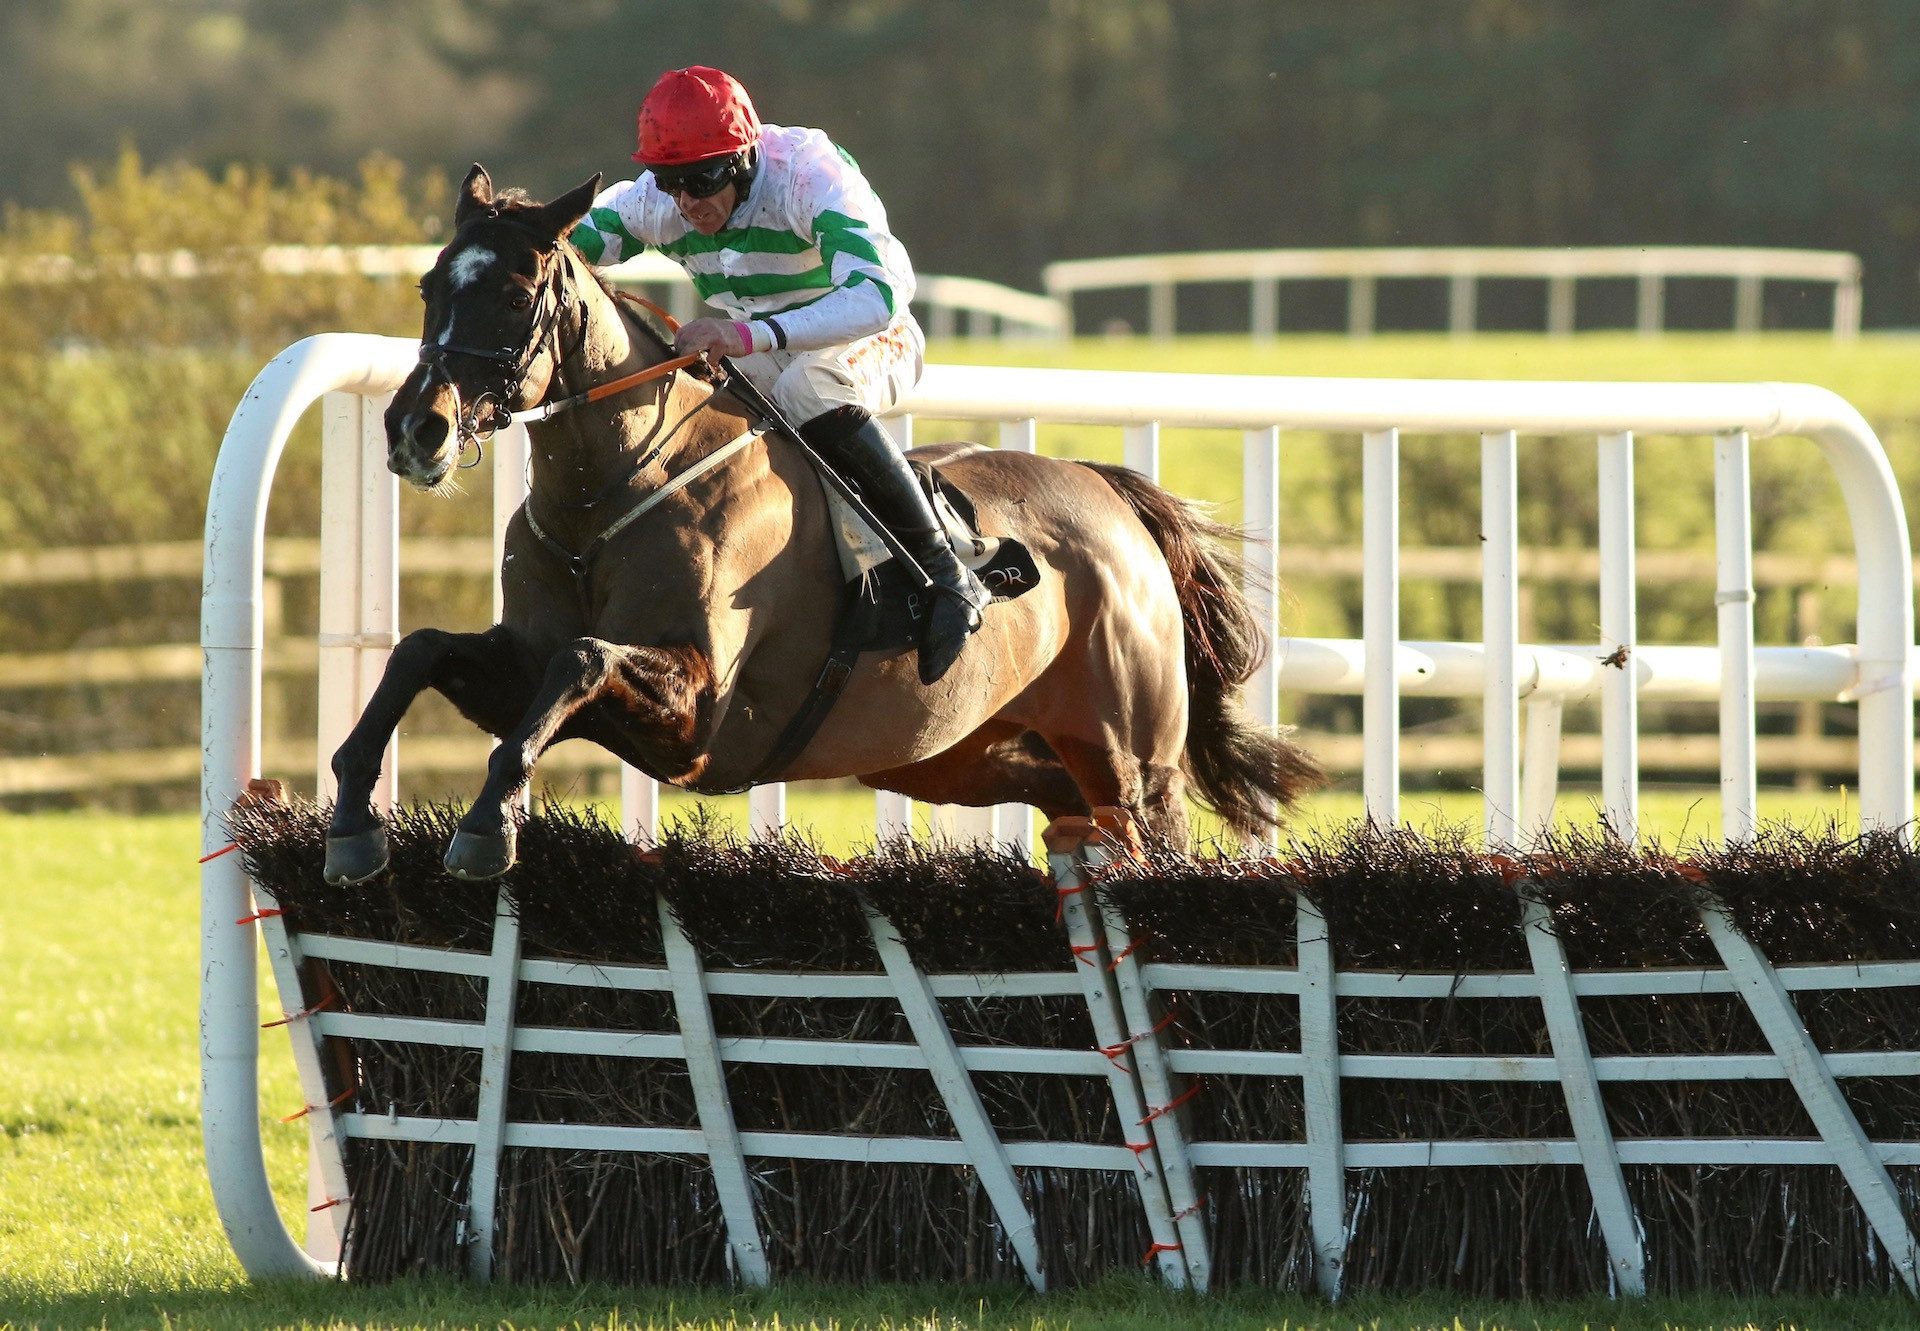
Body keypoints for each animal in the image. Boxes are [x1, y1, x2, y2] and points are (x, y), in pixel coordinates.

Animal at [326, 166, 1320, 883]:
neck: (610, 494)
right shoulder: (520, 663)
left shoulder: (696, 709)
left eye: (516, 291)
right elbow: (421, 649)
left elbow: (582, 658)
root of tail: (1111, 494)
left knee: (1153, 828)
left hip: (1134, 757)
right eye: (430, 284)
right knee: (1065, 808)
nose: (417, 429)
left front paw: (485, 827)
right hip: (955, 754)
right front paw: (353, 821)